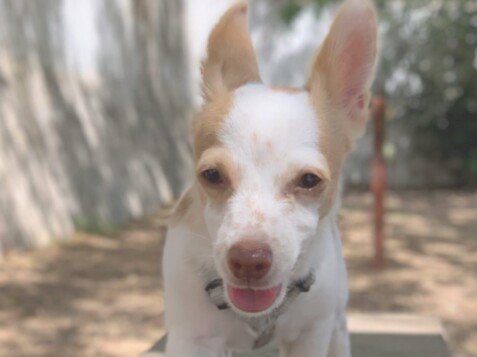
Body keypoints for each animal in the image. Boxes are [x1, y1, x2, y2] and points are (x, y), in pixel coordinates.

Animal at [162, 0, 378, 354]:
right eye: (211, 175)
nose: (248, 260)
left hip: (337, 320)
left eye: (309, 180)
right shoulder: (191, 339)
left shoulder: (312, 334)